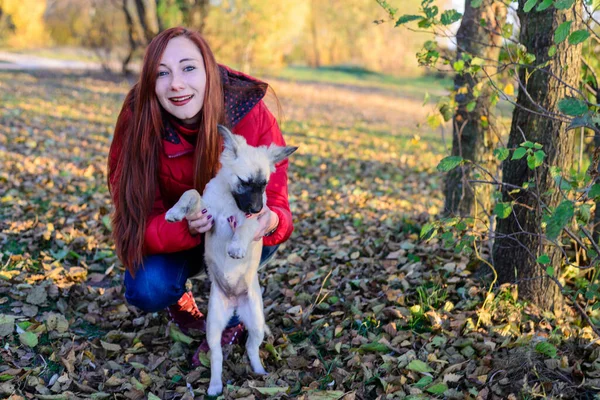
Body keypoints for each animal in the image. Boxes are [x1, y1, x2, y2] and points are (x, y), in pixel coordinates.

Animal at [165, 126, 296, 396]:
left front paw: (236, 246)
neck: (230, 201)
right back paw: (215, 386)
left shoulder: (255, 222)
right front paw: (175, 211)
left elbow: (245, 227)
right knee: (216, 357)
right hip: (214, 326)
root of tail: (235, 303)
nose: (256, 208)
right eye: (244, 182)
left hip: (255, 322)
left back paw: (260, 373)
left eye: (264, 185)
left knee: (251, 348)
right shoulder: (207, 214)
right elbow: (190, 193)